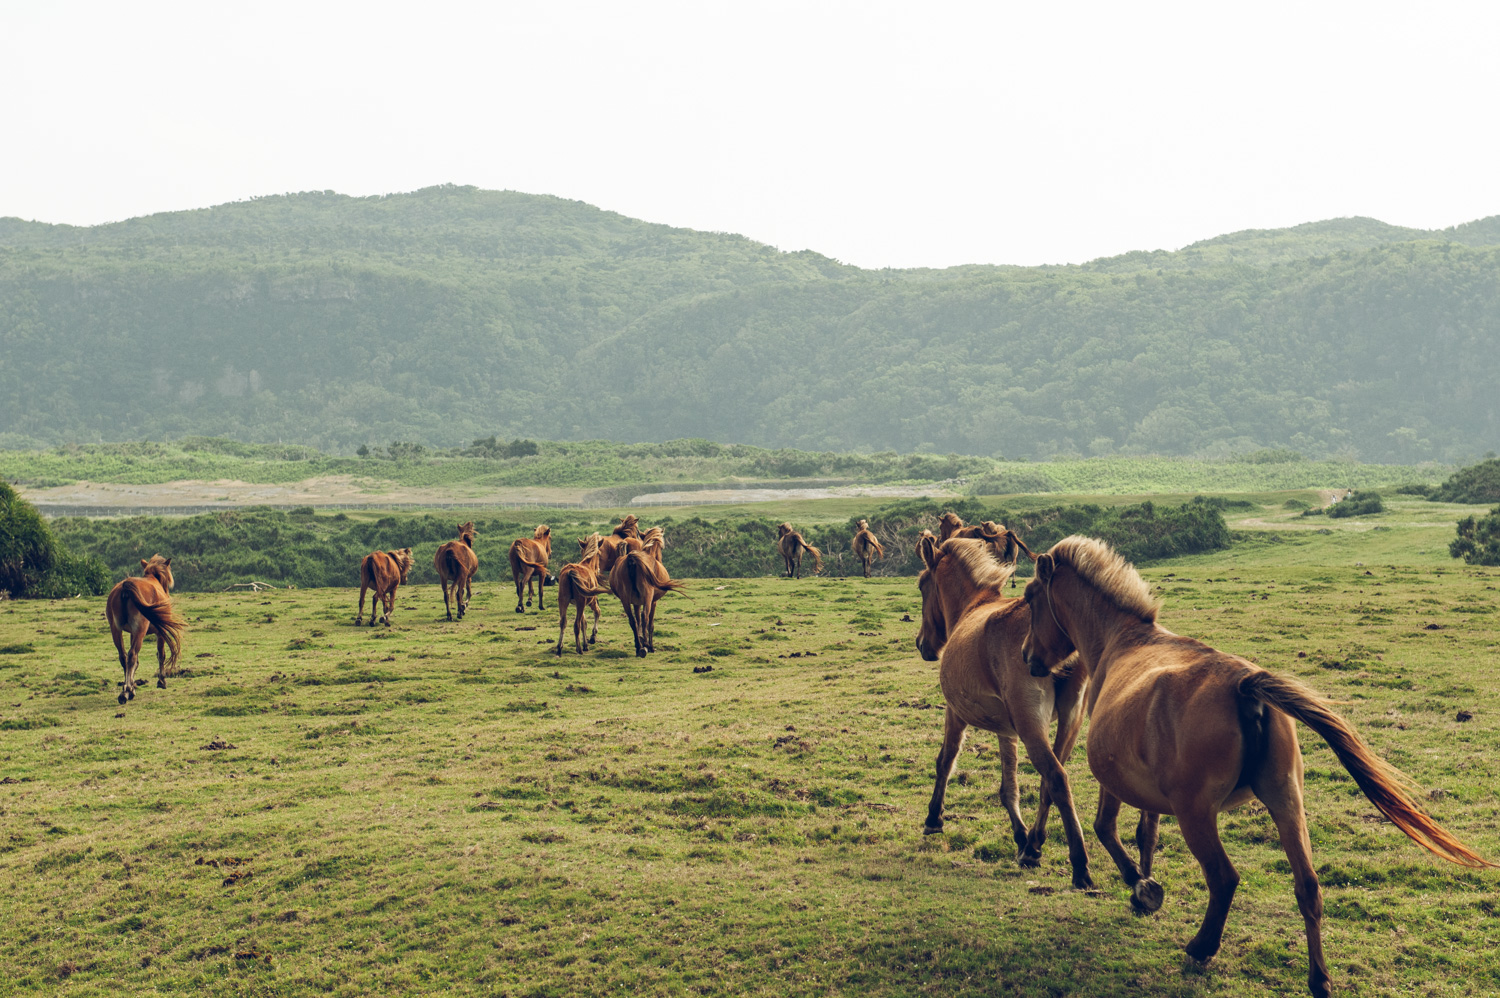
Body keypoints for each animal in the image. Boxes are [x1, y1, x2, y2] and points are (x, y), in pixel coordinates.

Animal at [107, 549, 187, 705]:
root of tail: (126, 588)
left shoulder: (132, 633)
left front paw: (132, 685)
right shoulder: (159, 632)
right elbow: (161, 654)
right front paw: (161, 681)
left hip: (116, 630)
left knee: (124, 657)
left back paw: (127, 690)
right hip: (140, 630)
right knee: (132, 656)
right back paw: (127, 691)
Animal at [912, 534, 1092, 882]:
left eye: (922, 585)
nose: (921, 644)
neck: (974, 606)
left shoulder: (955, 714)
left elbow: (945, 760)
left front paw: (933, 819)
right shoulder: (1007, 730)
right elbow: (1009, 786)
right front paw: (1021, 837)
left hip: (1032, 725)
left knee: (1056, 778)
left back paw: (1078, 865)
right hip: (1069, 721)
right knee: (1051, 782)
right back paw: (1033, 845)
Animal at [1020, 537, 1488, 996]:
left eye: (1029, 597)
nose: (1026, 657)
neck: (1123, 640)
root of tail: (1245, 685)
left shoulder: (1115, 782)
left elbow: (1106, 829)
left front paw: (1142, 887)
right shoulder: (1150, 791)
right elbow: (1146, 834)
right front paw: (1144, 891)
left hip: (1197, 814)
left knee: (1224, 878)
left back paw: (1201, 948)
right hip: (1286, 801)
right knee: (1308, 887)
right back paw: (1319, 980)